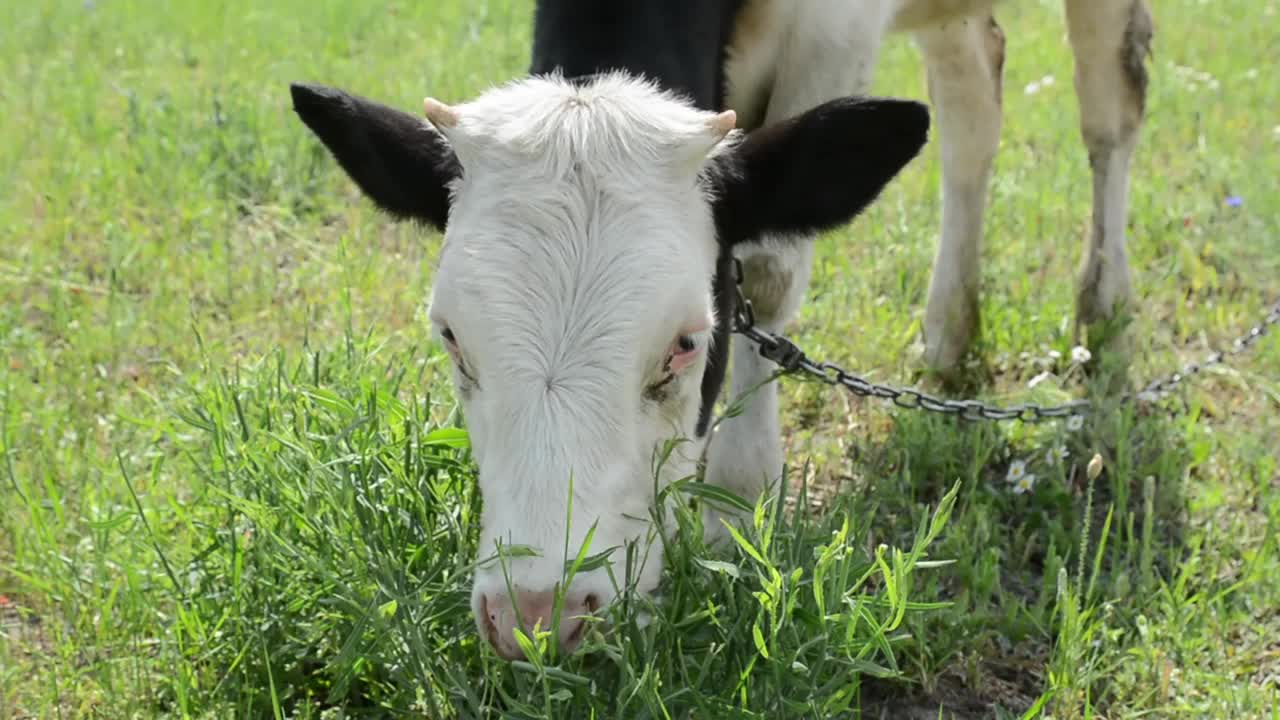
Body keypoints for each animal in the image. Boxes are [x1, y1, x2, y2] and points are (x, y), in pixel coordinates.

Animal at [290, 0, 1152, 661]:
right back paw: (949, 335)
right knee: (974, 89)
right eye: (452, 339)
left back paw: (1105, 318)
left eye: (684, 343)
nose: (538, 616)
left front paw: (737, 513)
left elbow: (767, 270)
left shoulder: (835, 35)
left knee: (1111, 101)